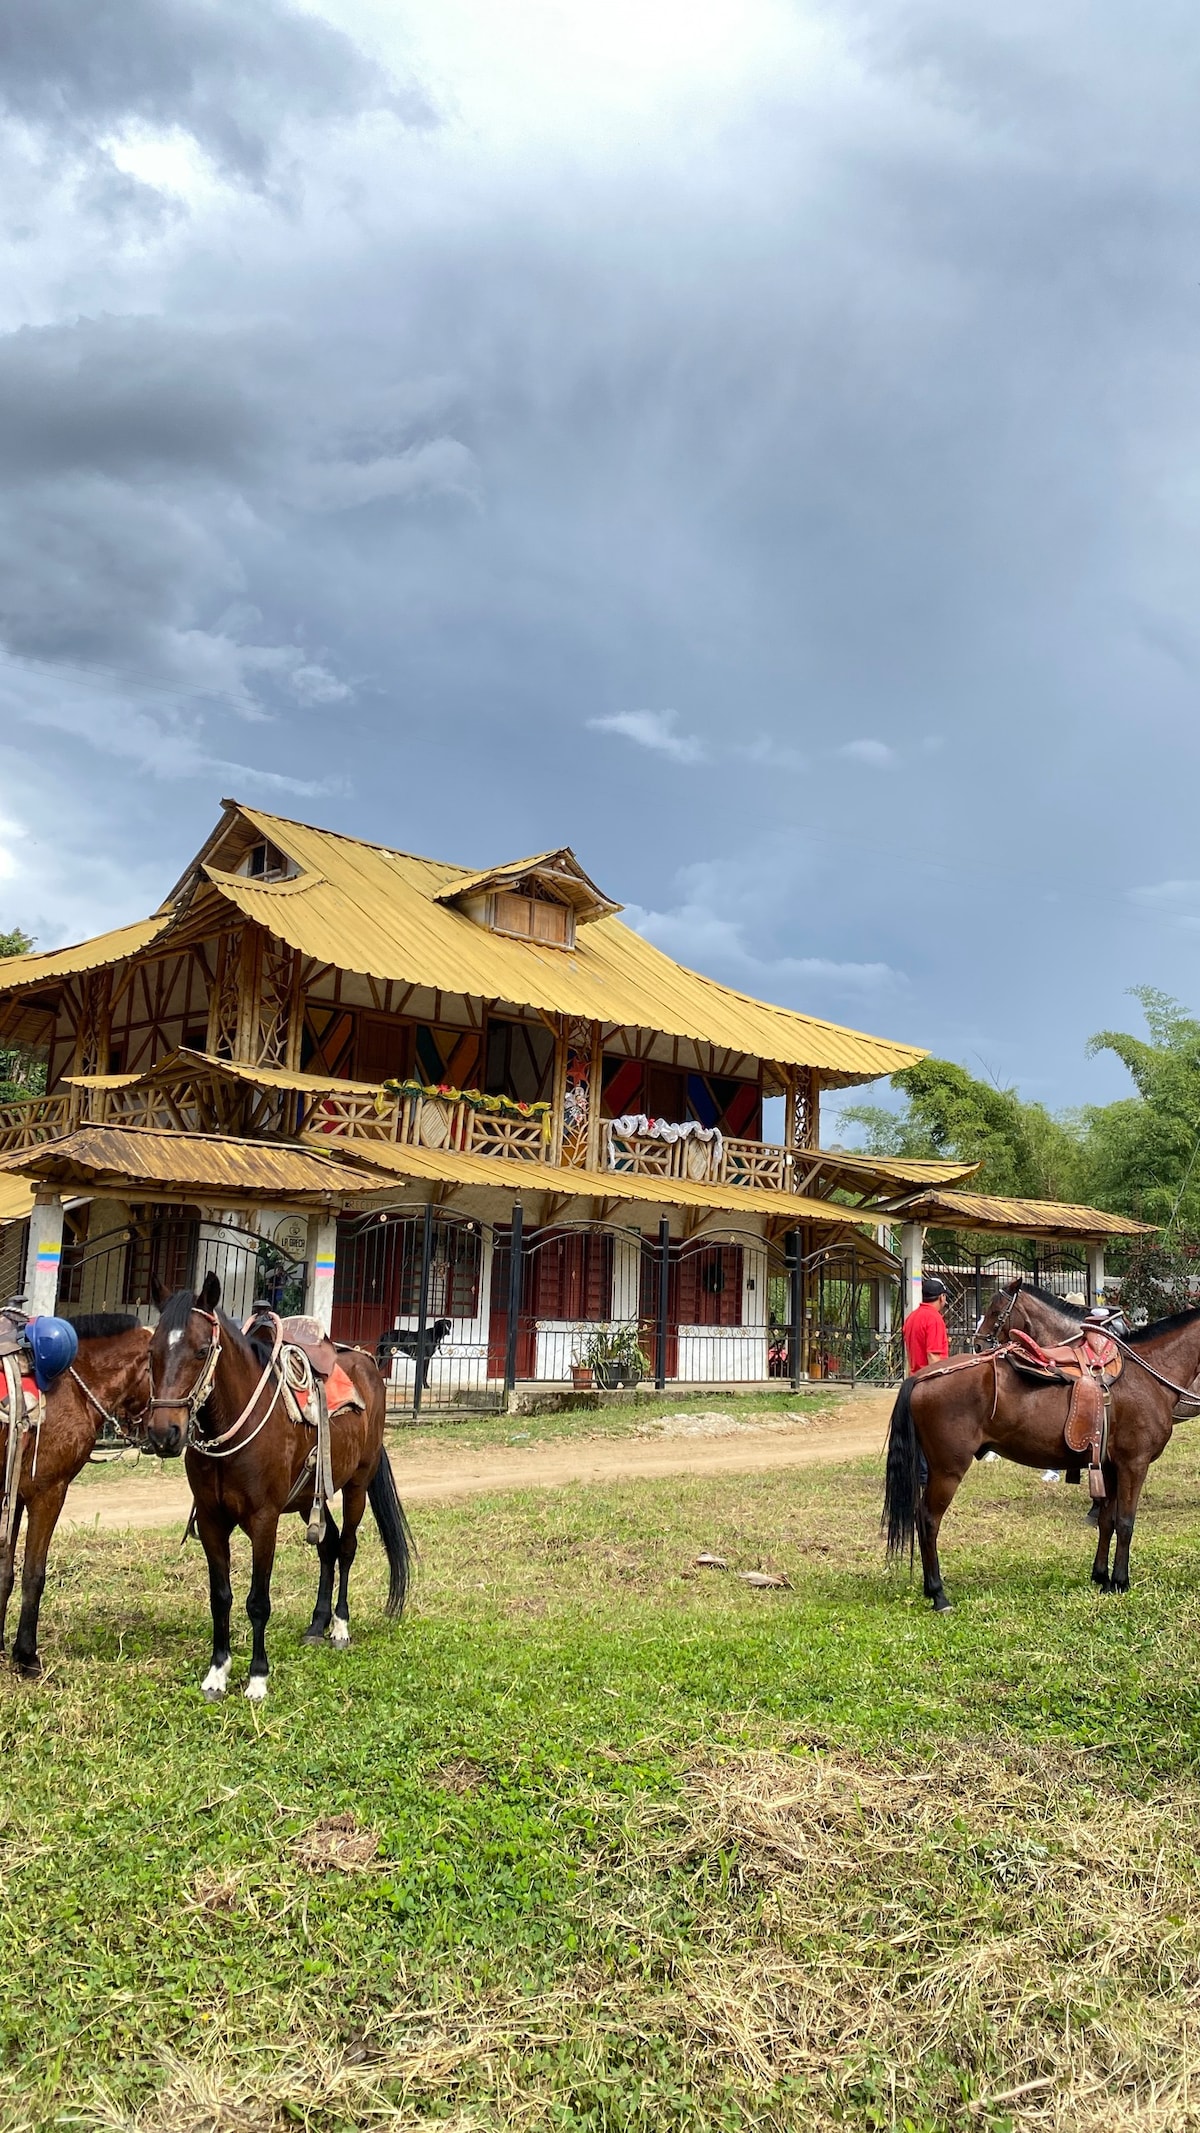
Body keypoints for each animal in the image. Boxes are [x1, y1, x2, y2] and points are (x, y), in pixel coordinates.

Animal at [0, 1313, 152, 1680]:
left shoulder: (15, 1493)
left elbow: (5, 1573)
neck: (71, 1384)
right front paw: (26, 1655)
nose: (168, 1436)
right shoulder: (48, 1492)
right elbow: (33, 1575)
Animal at [146, 1262, 413, 1697]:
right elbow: (220, 1596)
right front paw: (217, 1671)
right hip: (308, 1499)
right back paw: (317, 1624)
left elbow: (258, 1600)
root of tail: (367, 1364)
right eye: (151, 1352)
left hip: (357, 1485)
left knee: (347, 1548)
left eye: (201, 1351)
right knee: (329, 1546)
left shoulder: (264, 1520)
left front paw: (258, 1676)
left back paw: (339, 1626)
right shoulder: (212, 1520)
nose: (163, 1433)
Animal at [882, 1296, 1200, 1612]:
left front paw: (1101, 1577)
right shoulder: (1133, 1464)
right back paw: (938, 1594)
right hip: (948, 1470)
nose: (980, 1345)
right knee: (928, 1520)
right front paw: (1120, 1582)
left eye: (996, 1312)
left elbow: (1106, 1522)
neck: (1147, 1374)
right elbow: (1125, 1523)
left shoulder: (1109, 1466)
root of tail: (921, 1378)